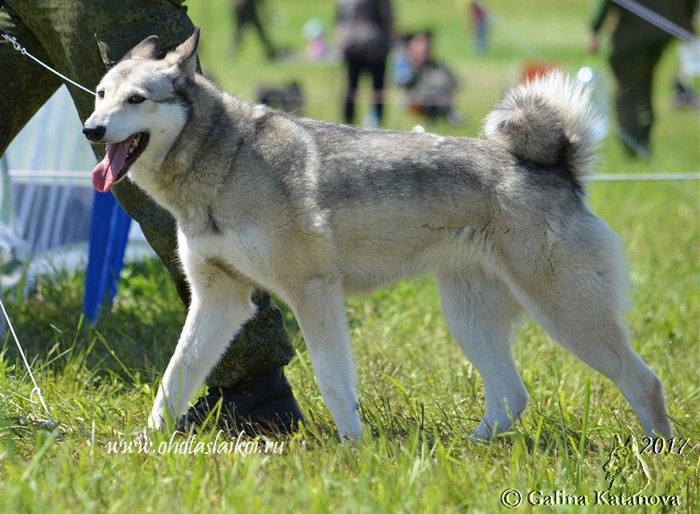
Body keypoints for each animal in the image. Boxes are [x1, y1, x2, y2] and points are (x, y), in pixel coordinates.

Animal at [83, 28, 672, 441]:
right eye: (100, 95)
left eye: (137, 99)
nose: (91, 128)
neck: (221, 159)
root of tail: (560, 167)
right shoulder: (219, 300)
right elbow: (173, 379)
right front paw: (144, 445)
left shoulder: (313, 293)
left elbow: (333, 382)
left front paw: (354, 450)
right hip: (469, 317)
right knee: (511, 397)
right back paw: (465, 449)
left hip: (566, 313)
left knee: (643, 381)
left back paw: (657, 456)